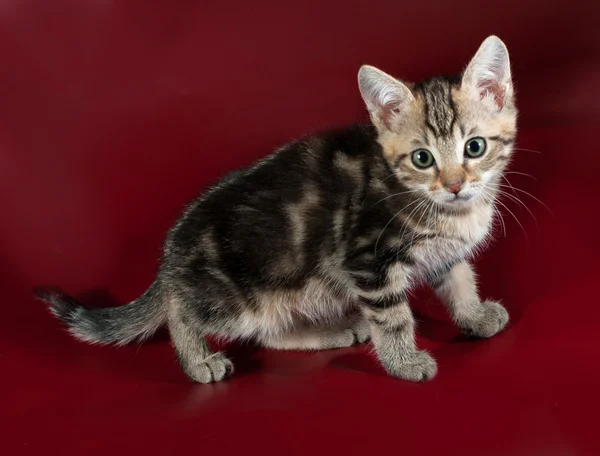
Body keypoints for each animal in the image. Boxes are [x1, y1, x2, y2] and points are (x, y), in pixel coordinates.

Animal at [36, 37, 516, 382]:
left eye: (474, 147)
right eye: (422, 158)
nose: (454, 185)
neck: (451, 212)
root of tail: (169, 258)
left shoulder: (444, 253)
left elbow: (459, 281)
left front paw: (474, 316)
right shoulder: (369, 258)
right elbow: (392, 317)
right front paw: (404, 363)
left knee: (270, 333)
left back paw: (330, 331)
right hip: (237, 297)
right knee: (182, 311)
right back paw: (197, 361)